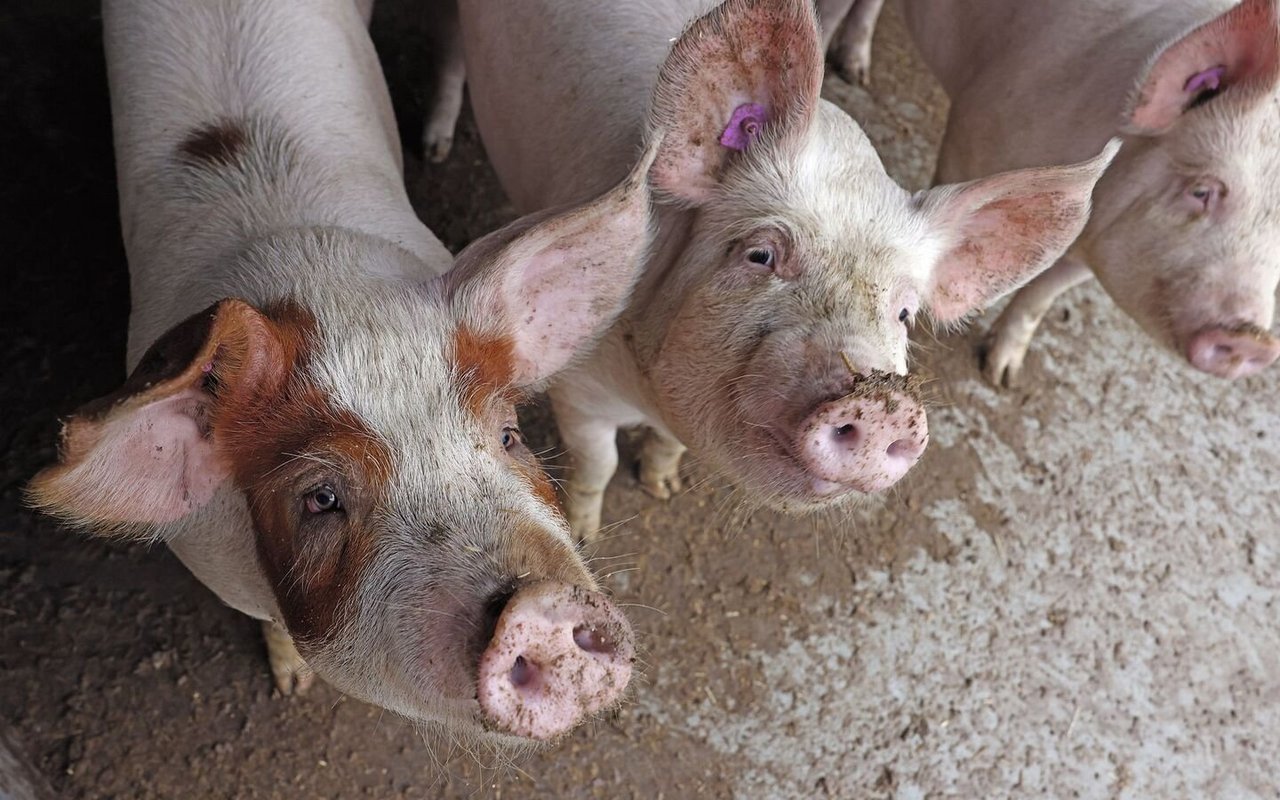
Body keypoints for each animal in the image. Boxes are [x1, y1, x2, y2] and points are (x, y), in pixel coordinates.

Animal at [23, 0, 660, 742]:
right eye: (320, 497)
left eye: (508, 436)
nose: (546, 604)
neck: (317, 275)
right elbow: (269, 623)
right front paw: (292, 683)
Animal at [455, 0, 1116, 542]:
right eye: (762, 255)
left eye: (904, 312)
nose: (881, 401)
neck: (649, 398)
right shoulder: (578, 389)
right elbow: (597, 464)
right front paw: (587, 533)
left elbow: (662, 449)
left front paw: (662, 486)